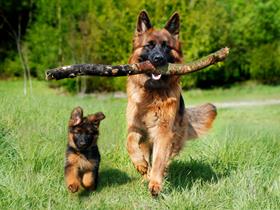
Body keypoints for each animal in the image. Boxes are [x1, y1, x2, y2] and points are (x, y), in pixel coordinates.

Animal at [127, 11, 217, 195]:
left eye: (166, 47)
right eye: (149, 46)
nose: (158, 59)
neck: (152, 93)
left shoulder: (163, 132)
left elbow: (159, 159)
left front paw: (155, 183)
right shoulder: (136, 127)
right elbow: (130, 142)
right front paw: (139, 164)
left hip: (174, 138)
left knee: (165, 159)